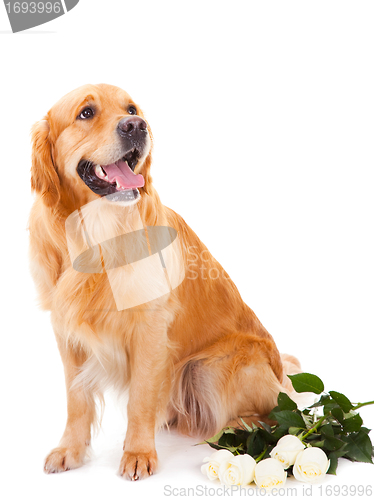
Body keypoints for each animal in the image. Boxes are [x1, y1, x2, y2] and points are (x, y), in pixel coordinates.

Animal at [28, 85, 300, 480]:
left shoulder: (151, 327)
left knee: (273, 414)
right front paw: (70, 450)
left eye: (132, 109)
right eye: (86, 113)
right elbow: (76, 400)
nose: (136, 126)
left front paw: (138, 452)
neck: (99, 235)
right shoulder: (66, 330)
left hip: (213, 366)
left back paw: (235, 427)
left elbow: (141, 398)